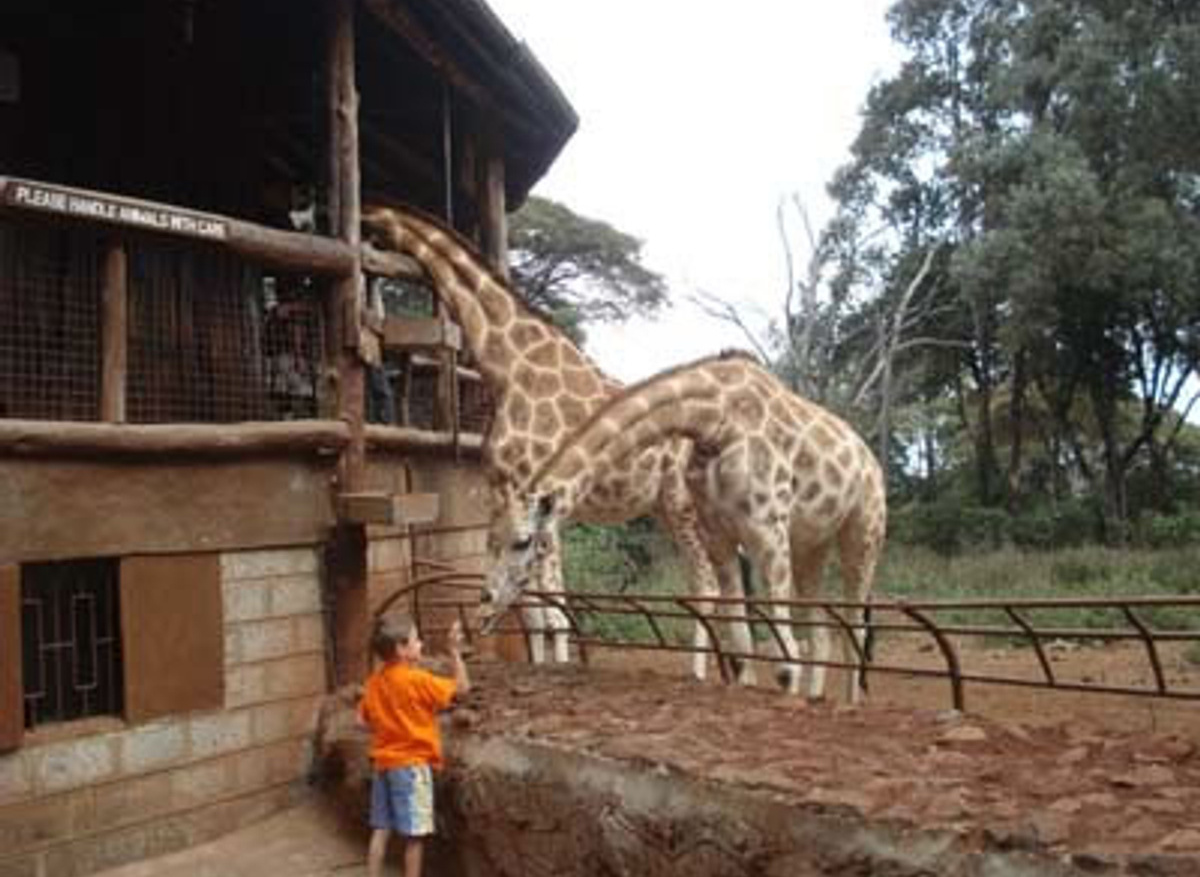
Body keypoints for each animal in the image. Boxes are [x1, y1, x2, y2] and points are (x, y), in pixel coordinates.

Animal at [362, 206, 754, 676]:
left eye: (369, 230)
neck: (511, 369)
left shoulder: (540, 499)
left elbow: (554, 612)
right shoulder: (511, 501)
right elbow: (532, 609)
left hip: (682, 505)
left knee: (708, 587)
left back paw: (700, 674)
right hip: (669, 508)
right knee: (717, 585)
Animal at [482, 351, 887, 703]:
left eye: (523, 541)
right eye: (490, 540)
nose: (485, 603)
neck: (714, 420)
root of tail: (871, 458)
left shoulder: (767, 530)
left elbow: (786, 663)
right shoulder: (719, 537)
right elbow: (742, 644)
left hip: (863, 532)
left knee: (856, 625)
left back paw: (851, 703)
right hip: (811, 546)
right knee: (823, 632)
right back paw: (818, 698)